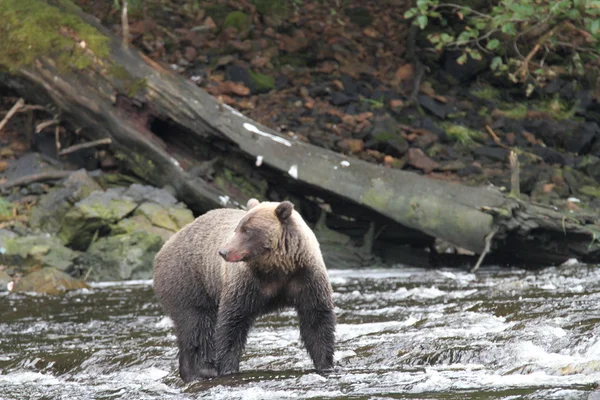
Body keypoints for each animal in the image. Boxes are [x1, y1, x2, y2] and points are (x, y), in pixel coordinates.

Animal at [152, 198, 336, 382]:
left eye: (247, 230)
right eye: (237, 228)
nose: (223, 251)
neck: (277, 267)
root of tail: (163, 248)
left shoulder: (306, 278)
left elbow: (316, 321)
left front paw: (325, 365)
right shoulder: (246, 283)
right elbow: (232, 323)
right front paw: (228, 368)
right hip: (189, 281)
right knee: (196, 325)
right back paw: (202, 370)